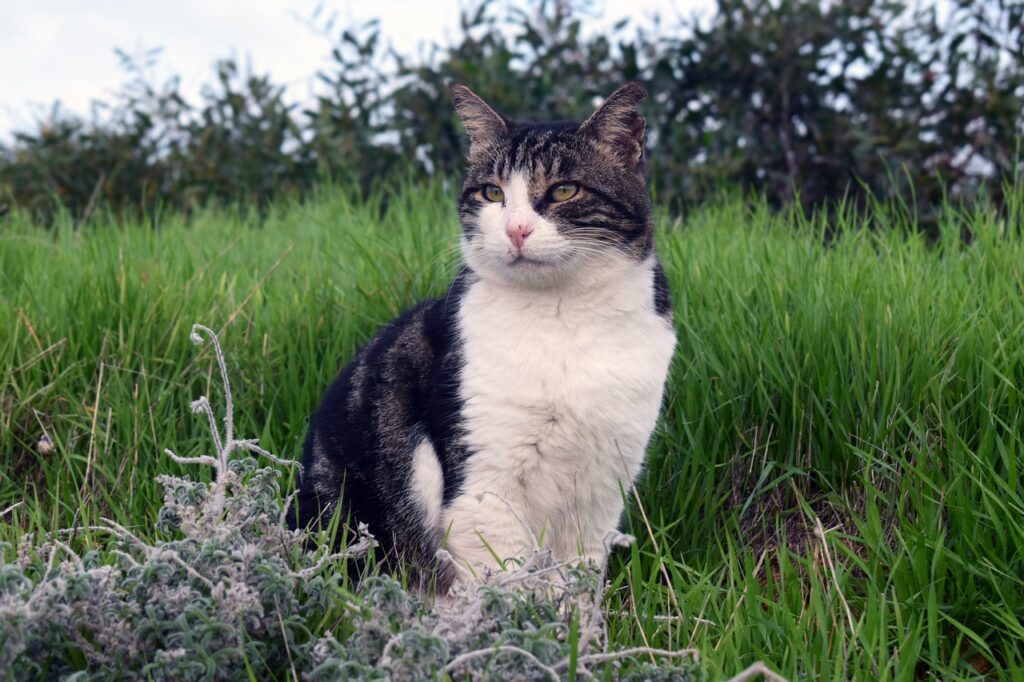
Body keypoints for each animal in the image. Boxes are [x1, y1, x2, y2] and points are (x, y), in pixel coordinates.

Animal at [288, 80, 675, 589]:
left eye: (564, 189)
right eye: (492, 193)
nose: (516, 229)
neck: (562, 315)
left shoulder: (601, 490)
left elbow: (574, 582)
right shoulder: (484, 483)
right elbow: (503, 584)